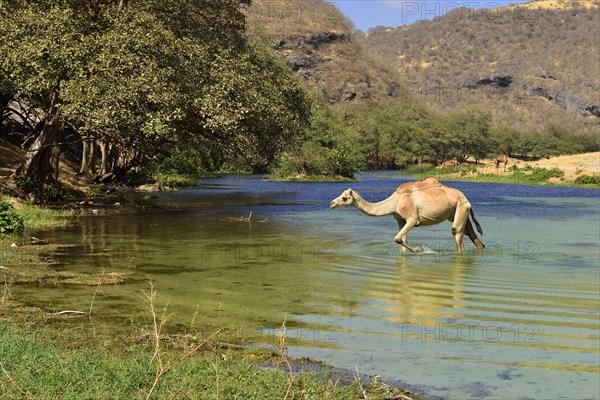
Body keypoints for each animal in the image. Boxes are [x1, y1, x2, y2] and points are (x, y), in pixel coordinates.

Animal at [330, 178, 486, 253]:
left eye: (344, 198)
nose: (332, 203)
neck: (395, 201)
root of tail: (467, 199)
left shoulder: (412, 219)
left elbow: (397, 238)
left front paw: (418, 249)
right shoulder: (400, 221)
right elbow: (401, 241)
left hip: (461, 208)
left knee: (457, 233)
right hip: (459, 212)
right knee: (470, 233)